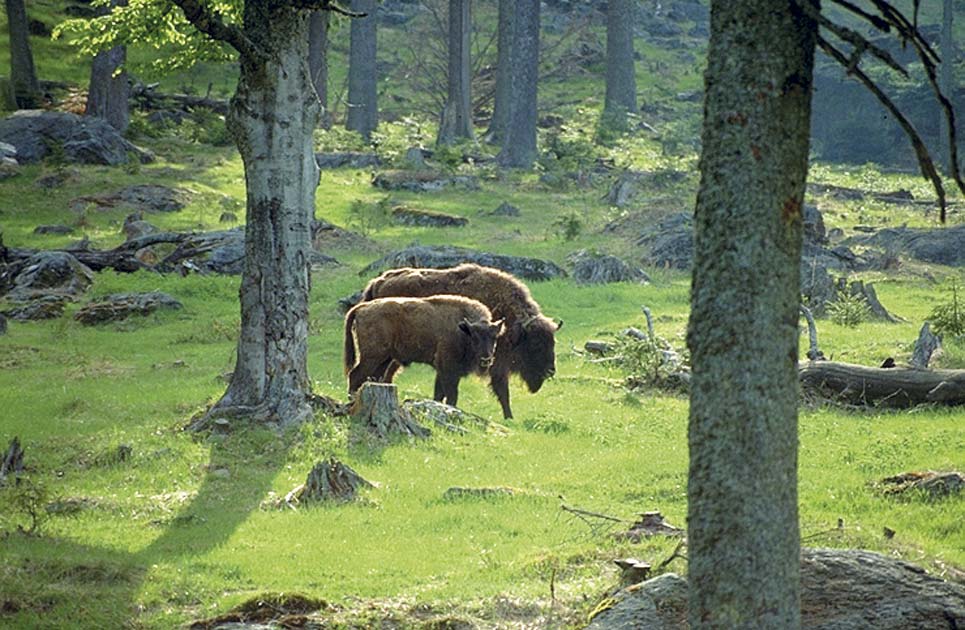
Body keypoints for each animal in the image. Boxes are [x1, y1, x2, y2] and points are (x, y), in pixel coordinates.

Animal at [342, 294, 504, 408]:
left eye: (495, 337)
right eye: (474, 337)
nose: (486, 359)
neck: (463, 330)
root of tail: (362, 307)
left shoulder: (443, 372)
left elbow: (439, 394)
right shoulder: (448, 370)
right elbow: (451, 395)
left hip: (384, 359)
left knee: (373, 377)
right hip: (371, 357)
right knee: (355, 375)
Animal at [360, 262, 556, 420]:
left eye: (553, 342)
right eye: (536, 344)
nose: (550, 371)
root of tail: (377, 283)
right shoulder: (495, 365)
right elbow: (502, 391)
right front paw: (510, 417)